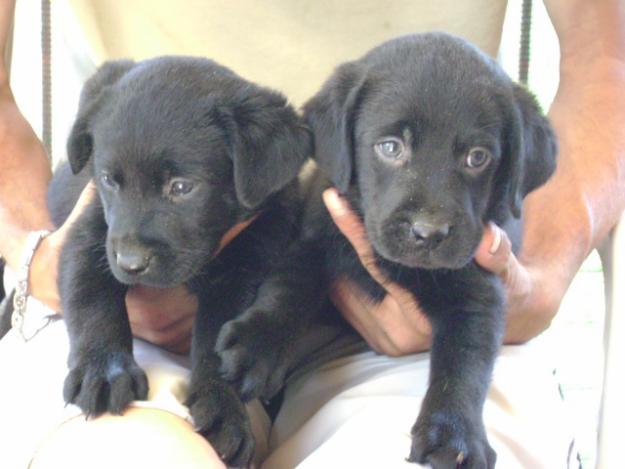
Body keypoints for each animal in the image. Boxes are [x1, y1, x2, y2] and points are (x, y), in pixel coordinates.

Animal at [49, 54, 312, 464]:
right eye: (108, 180)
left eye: (182, 187)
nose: (131, 263)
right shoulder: (89, 234)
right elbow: (91, 299)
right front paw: (103, 371)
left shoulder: (246, 267)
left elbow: (217, 346)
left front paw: (223, 410)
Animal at [219, 33, 556, 468]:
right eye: (391, 147)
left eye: (477, 158)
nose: (428, 233)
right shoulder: (314, 235)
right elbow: (288, 289)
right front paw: (257, 345)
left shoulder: (478, 288)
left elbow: (465, 360)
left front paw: (455, 434)